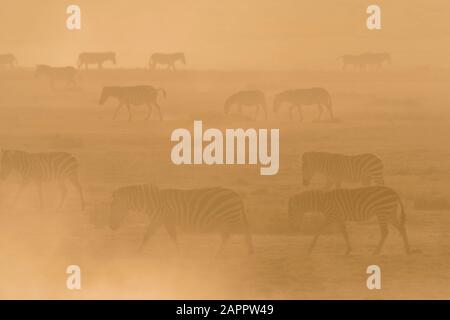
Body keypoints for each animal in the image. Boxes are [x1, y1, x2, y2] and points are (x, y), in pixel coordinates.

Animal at [109, 182, 253, 255]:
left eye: (113, 206)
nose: (112, 227)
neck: (153, 203)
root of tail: (237, 195)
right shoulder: (158, 220)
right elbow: (147, 235)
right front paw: (138, 252)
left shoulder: (166, 219)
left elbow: (172, 237)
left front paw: (179, 253)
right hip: (226, 220)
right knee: (231, 235)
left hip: (230, 218)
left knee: (242, 231)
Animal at [286, 186, 416, 254]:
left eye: (291, 213)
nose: (293, 228)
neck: (323, 202)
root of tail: (393, 191)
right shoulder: (338, 217)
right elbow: (344, 233)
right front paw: (349, 249)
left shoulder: (332, 216)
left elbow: (319, 230)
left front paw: (310, 247)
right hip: (389, 213)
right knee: (401, 228)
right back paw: (407, 249)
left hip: (382, 212)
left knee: (385, 231)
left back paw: (377, 251)